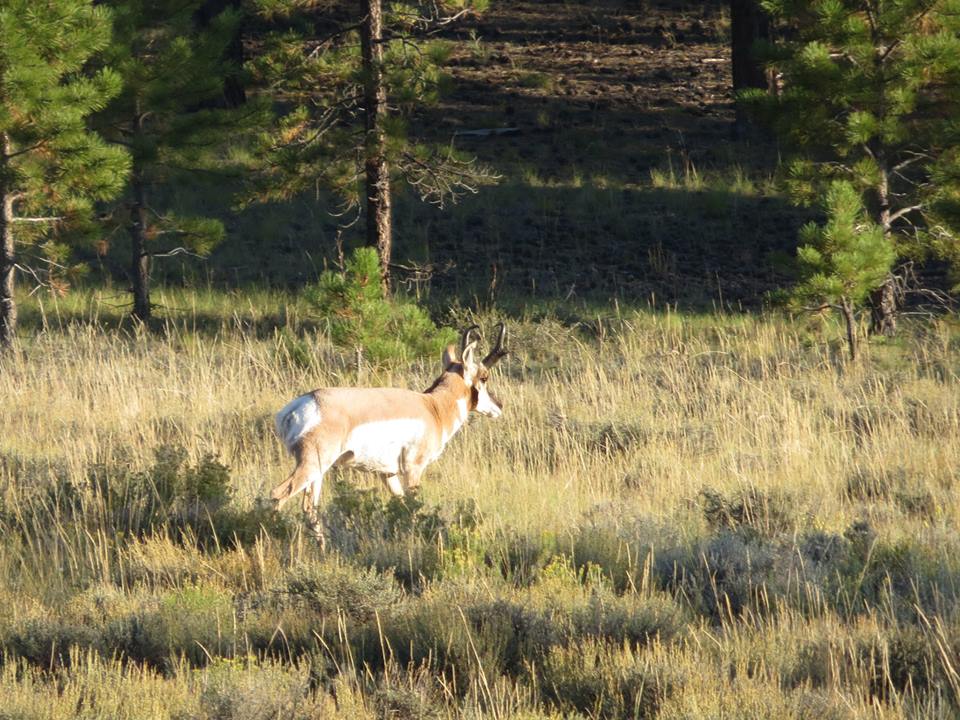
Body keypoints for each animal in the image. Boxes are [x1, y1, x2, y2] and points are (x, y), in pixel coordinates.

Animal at [270, 324, 510, 544]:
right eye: (485, 377)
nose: (499, 405)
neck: (433, 407)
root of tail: (302, 404)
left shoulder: (387, 473)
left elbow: (401, 503)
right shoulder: (413, 469)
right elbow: (413, 506)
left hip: (318, 472)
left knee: (310, 506)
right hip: (310, 465)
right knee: (278, 493)